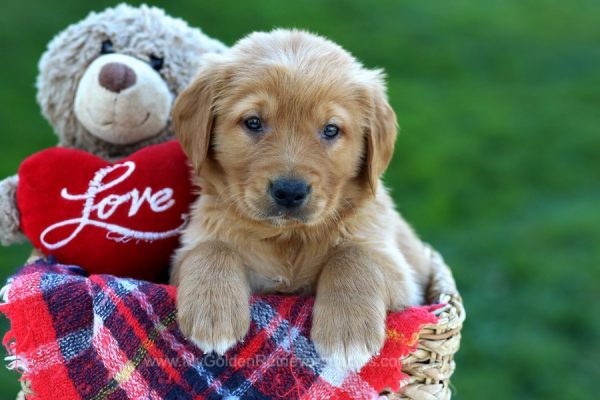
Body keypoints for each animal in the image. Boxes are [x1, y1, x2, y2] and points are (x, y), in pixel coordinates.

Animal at [171, 29, 434, 370]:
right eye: (253, 122)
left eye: (331, 129)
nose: (289, 191)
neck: (288, 238)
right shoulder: (185, 255)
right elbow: (212, 248)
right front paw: (213, 316)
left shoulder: (400, 273)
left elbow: (352, 255)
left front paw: (347, 334)